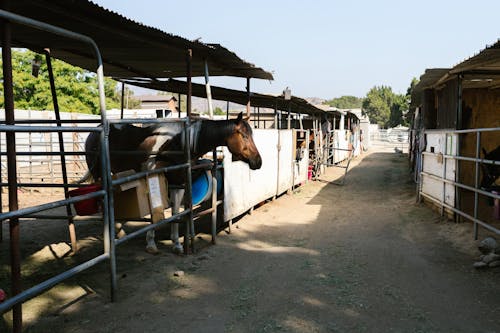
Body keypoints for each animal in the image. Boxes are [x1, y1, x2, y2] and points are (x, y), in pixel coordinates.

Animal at [82, 113, 262, 253]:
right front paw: (151, 243)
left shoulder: (178, 183)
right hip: (99, 176)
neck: (177, 144)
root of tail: (95, 132)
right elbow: (155, 212)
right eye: (244, 136)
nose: (258, 162)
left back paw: (119, 232)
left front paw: (176, 244)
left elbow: (176, 212)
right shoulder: (153, 180)